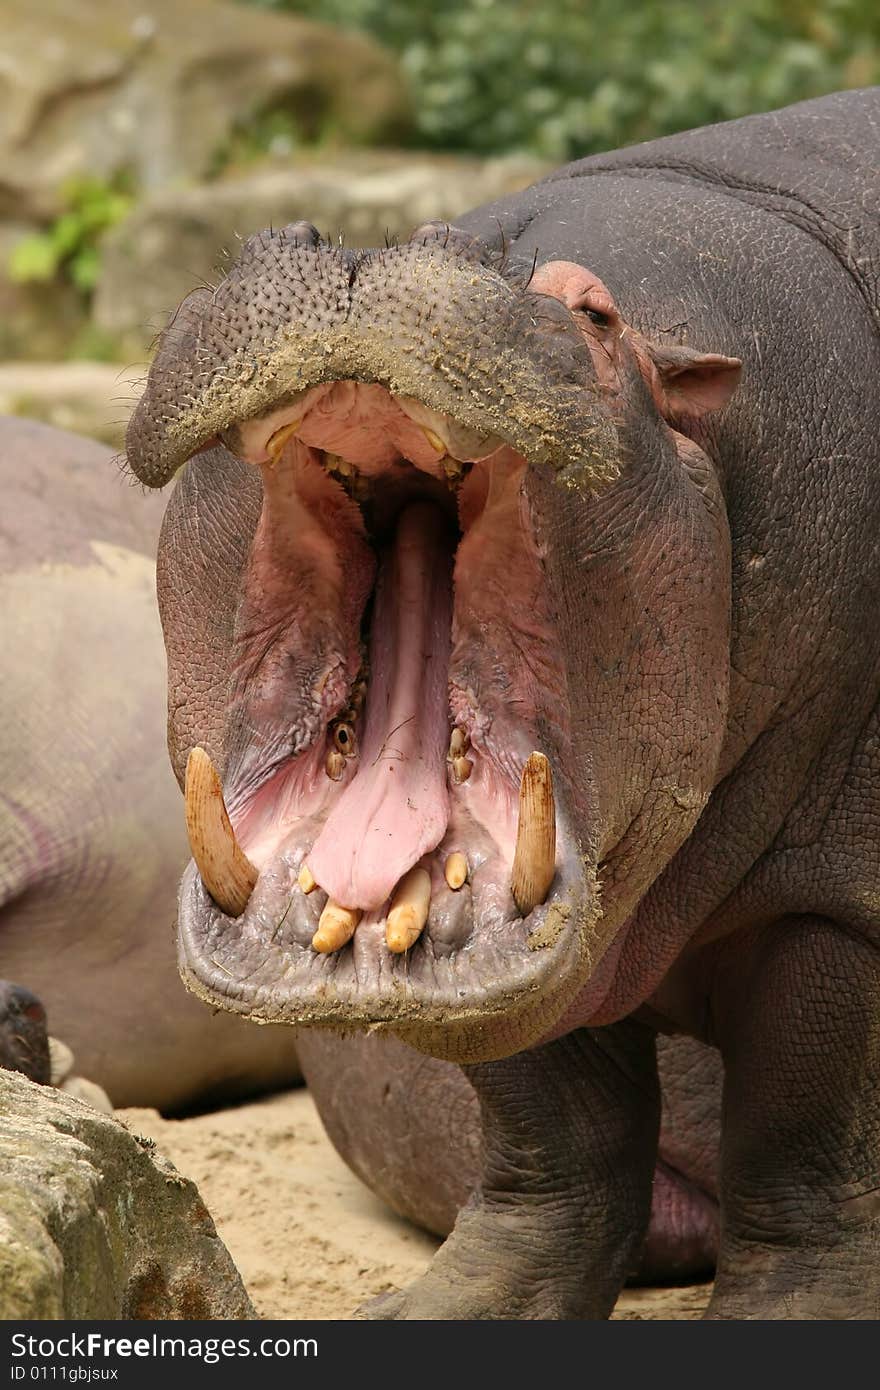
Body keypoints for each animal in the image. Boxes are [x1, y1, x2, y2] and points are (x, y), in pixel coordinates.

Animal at [123, 92, 878, 1317]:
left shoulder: (838, 890)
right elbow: (552, 1117)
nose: (362, 251)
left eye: (596, 313)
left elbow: (804, 1124)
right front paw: (446, 1309)